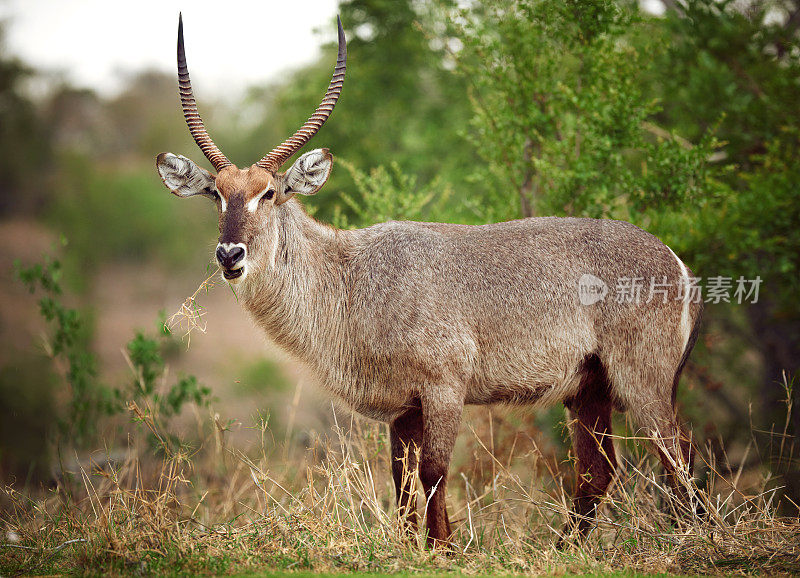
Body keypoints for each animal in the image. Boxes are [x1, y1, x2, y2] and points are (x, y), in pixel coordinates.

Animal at [155, 14, 700, 544]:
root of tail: (675, 261)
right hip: (588, 389)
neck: (351, 276)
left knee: (678, 456)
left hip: (642, 379)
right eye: (216, 193)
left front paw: (443, 550)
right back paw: (565, 548)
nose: (230, 253)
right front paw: (409, 548)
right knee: (598, 471)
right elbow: (401, 480)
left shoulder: (443, 389)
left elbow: (434, 472)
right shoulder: (404, 408)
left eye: (268, 192)